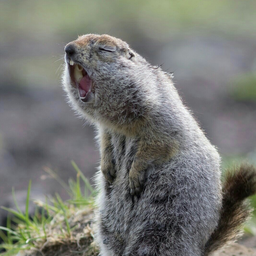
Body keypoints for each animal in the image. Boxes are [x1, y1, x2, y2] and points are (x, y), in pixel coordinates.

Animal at [61, 34, 256, 256]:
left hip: (161, 227)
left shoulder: (160, 115)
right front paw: (107, 167)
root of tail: (199, 248)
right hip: (107, 228)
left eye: (105, 49)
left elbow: (159, 142)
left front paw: (133, 176)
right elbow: (104, 140)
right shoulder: (107, 129)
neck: (120, 124)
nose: (68, 49)